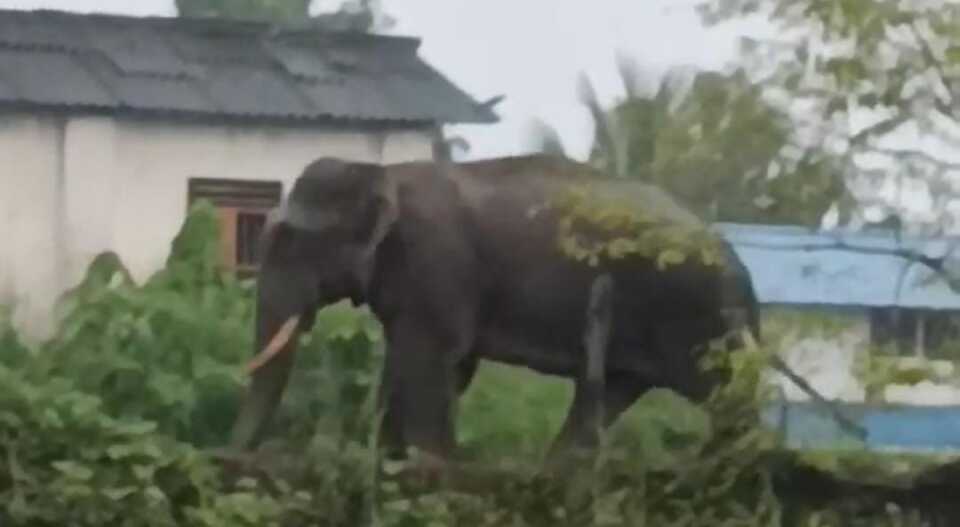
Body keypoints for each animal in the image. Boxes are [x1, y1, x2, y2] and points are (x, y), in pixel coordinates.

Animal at [227, 153, 864, 466]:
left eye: (288, 241)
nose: (236, 456)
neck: (385, 174)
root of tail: (742, 270)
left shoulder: (437, 261)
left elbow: (435, 360)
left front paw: (429, 465)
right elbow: (427, 367)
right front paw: (391, 459)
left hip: (695, 317)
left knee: (721, 395)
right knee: (608, 395)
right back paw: (557, 468)